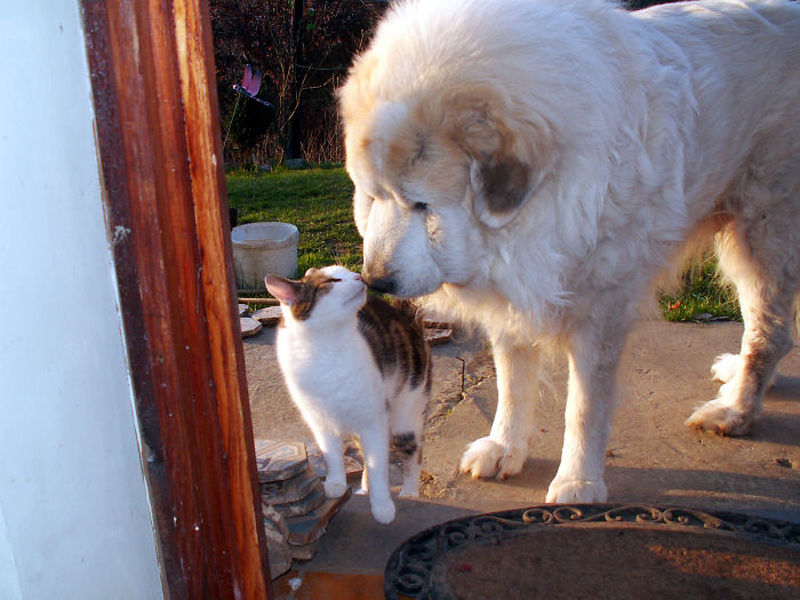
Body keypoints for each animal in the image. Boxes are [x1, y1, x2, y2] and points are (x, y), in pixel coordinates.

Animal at [266, 264, 432, 524]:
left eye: (346, 271)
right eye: (332, 280)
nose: (359, 277)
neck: (326, 350)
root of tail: (403, 314)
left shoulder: (373, 421)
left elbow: (378, 467)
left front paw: (382, 506)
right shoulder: (320, 422)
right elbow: (332, 456)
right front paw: (335, 484)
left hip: (405, 418)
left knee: (412, 455)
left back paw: (409, 492)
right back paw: (364, 489)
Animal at [340, 0, 800, 502]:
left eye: (422, 204)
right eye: (371, 195)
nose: (376, 280)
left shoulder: (600, 310)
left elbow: (584, 406)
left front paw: (578, 483)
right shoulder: (511, 290)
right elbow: (512, 381)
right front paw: (505, 447)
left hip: (764, 233)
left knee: (769, 332)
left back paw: (735, 410)